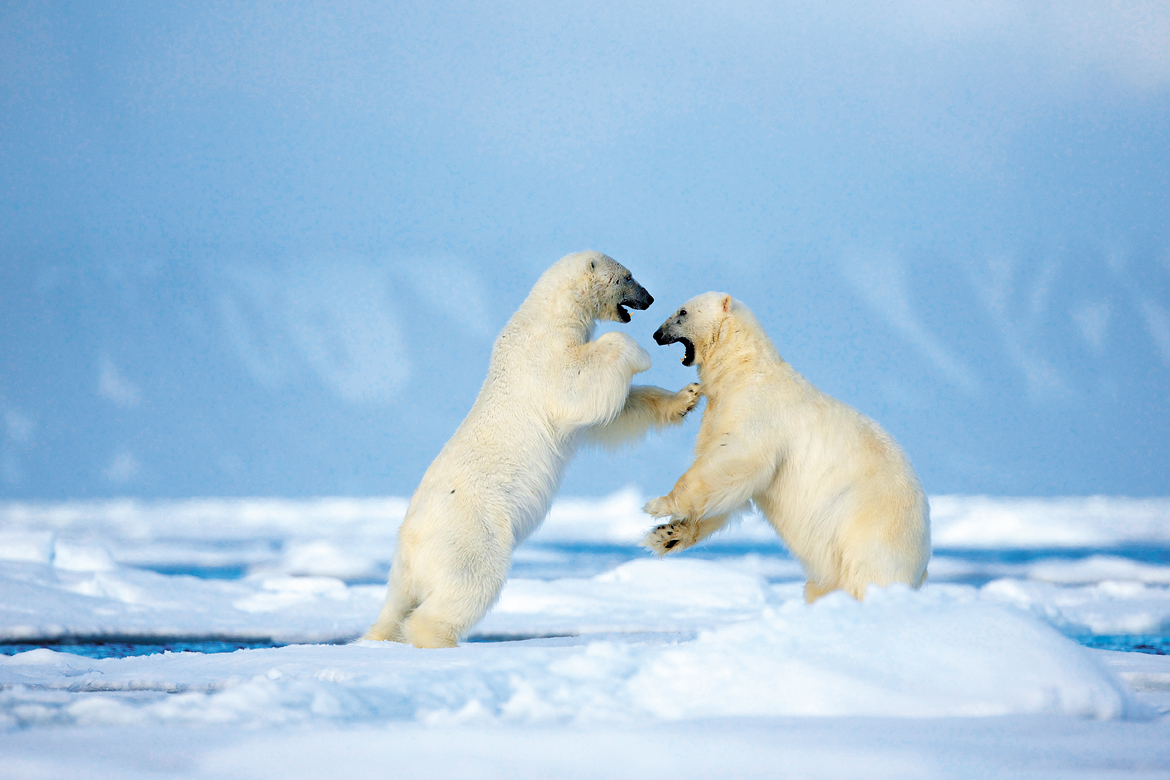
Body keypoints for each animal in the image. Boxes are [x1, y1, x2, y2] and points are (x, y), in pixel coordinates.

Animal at [360, 253, 697, 650]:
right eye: (627, 277)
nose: (650, 298)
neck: (548, 315)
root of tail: (406, 547)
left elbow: (613, 412)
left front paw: (687, 397)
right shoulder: (542, 359)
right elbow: (578, 386)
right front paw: (642, 354)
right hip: (471, 529)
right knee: (469, 581)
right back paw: (440, 640)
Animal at [645, 292, 926, 603]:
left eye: (682, 311)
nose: (657, 334)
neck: (742, 368)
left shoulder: (757, 412)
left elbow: (735, 461)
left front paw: (658, 504)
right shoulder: (720, 413)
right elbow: (729, 490)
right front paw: (666, 535)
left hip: (869, 528)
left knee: (866, 572)